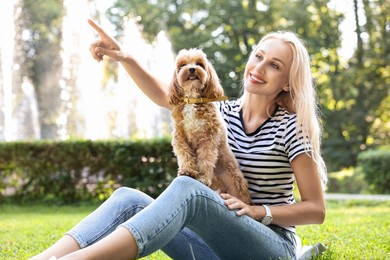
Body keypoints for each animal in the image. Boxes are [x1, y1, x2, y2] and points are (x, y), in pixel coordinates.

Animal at [169, 47, 251, 204]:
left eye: (200, 64)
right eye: (182, 65)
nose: (192, 69)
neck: (193, 100)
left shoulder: (208, 138)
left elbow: (206, 160)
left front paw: (203, 178)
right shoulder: (180, 137)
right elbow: (185, 155)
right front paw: (188, 171)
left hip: (235, 182)